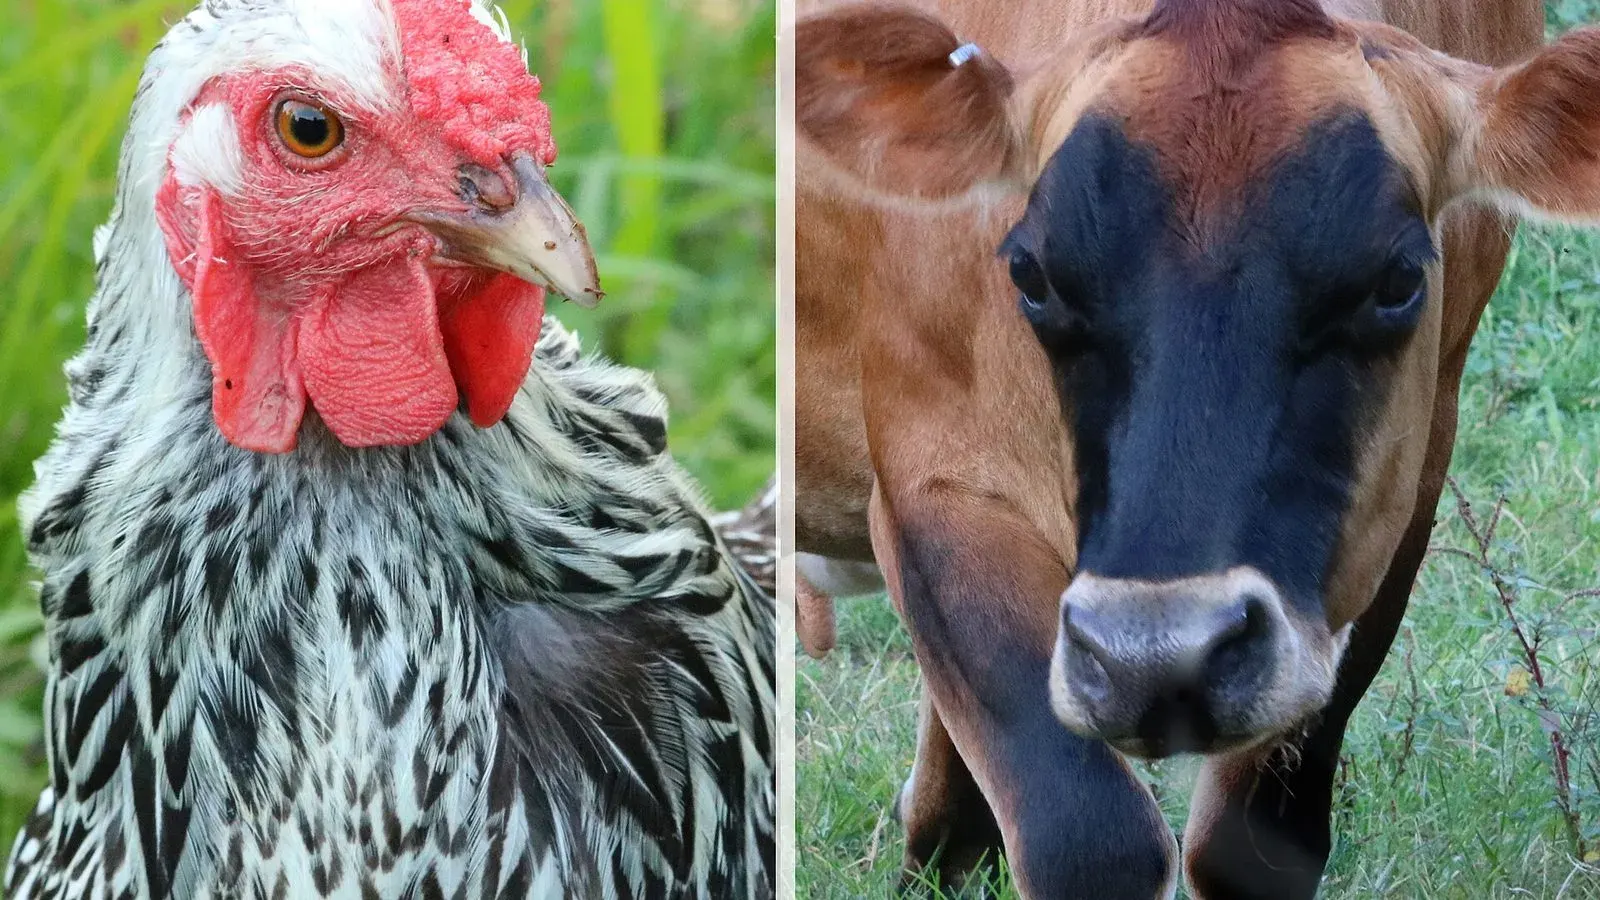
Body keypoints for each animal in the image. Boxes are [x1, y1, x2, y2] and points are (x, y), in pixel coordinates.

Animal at [795, 0, 1600, 896]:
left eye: (1398, 281)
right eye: (1030, 273)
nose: (1153, 659)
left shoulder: (1404, 486)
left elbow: (1253, 849)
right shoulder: (934, 479)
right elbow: (1091, 839)